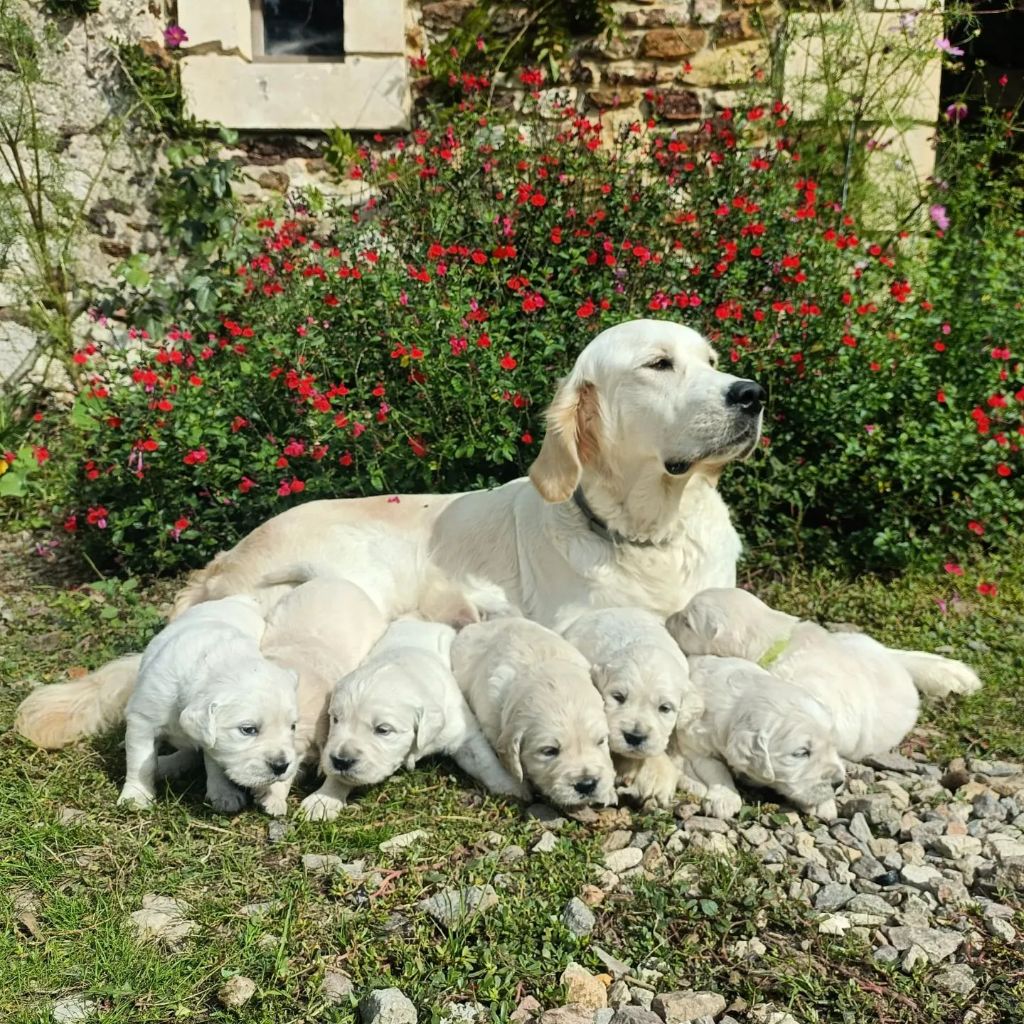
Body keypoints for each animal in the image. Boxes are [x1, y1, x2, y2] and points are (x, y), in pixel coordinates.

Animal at [118, 598, 299, 811]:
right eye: (248, 730)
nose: (281, 766)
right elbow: (141, 762)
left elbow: (214, 761)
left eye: (293, 727)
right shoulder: (143, 720)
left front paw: (224, 794)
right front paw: (135, 796)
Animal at [299, 614, 528, 823]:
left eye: (383, 729)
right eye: (336, 719)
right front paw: (323, 798)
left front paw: (512, 786)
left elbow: (485, 760)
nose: (341, 761)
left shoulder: (463, 731)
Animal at [667, 659, 843, 819]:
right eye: (801, 753)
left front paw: (824, 805)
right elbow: (717, 767)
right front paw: (725, 799)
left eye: (833, 746)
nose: (839, 783)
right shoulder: (696, 746)